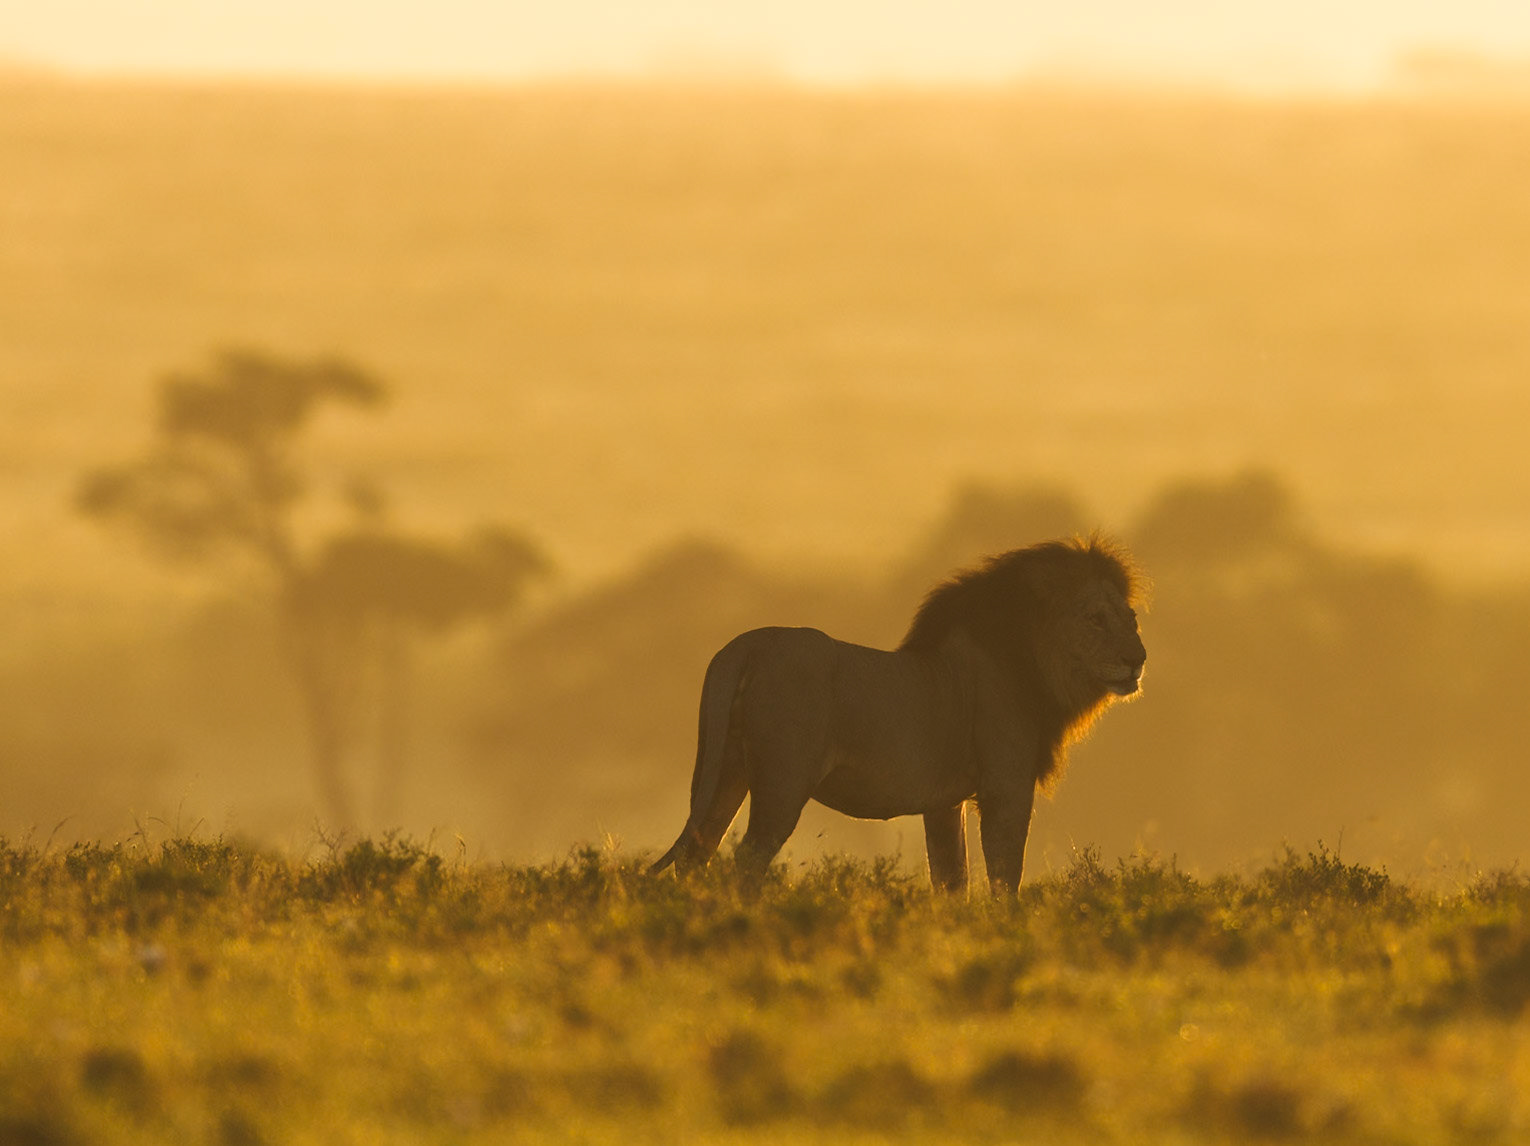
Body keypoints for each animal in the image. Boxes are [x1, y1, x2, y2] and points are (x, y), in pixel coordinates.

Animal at [649, 536, 1147, 895]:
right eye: (1096, 619)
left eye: (1132, 619)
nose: (1138, 660)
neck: (1033, 663)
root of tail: (743, 647)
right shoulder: (1006, 788)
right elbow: (1006, 879)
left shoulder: (946, 802)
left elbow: (951, 880)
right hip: (781, 784)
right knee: (745, 862)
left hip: (723, 771)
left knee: (695, 857)